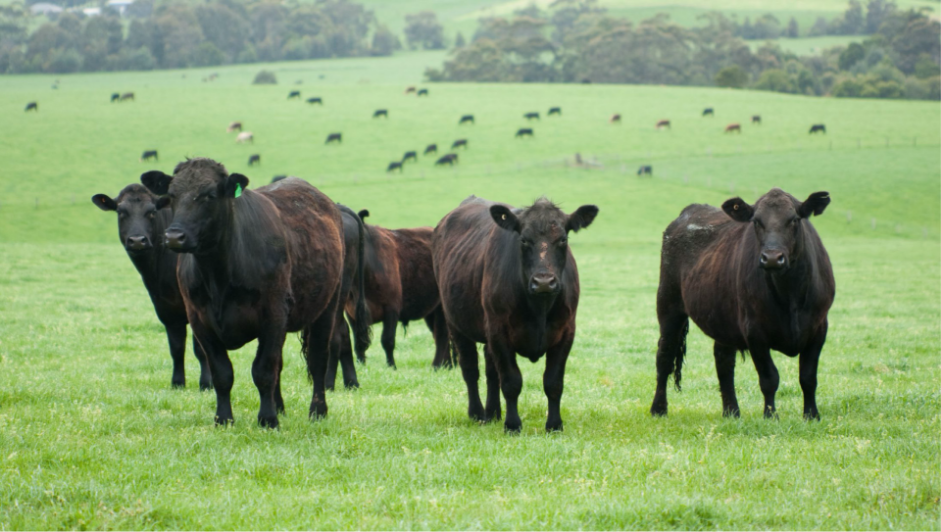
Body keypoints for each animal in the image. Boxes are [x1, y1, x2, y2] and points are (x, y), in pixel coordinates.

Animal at [91, 180, 211, 390]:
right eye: (121, 212)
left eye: (152, 212)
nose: (137, 241)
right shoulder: (165, 307)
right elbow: (176, 347)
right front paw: (177, 382)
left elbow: (200, 348)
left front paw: (206, 384)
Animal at [152, 158, 363, 427]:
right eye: (172, 195)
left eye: (210, 195)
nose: (174, 236)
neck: (218, 275)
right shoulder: (200, 320)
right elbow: (222, 373)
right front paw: (224, 419)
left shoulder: (272, 315)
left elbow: (263, 370)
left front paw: (268, 419)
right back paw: (281, 406)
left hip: (328, 307)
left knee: (318, 359)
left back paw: (317, 411)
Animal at [326, 210, 451, 385]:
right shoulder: (351, 313)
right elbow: (358, 343)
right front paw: (361, 365)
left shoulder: (392, 308)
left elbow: (387, 340)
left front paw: (392, 366)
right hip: (431, 311)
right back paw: (448, 365)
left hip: (442, 308)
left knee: (441, 336)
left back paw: (438, 366)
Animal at [433, 196, 599, 432]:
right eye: (523, 240)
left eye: (563, 240)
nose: (544, 282)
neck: (539, 308)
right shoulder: (499, 332)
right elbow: (511, 381)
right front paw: (512, 425)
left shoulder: (566, 331)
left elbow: (553, 382)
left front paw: (554, 425)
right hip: (456, 324)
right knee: (470, 369)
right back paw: (477, 413)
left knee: (491, 372)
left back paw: (493, 412)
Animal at [650, 188, 834, 420]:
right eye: (756, 221)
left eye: (794, 220)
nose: (772, 258)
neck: (789, 295)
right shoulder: (754, 331)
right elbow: (769, 378)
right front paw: (770, 416)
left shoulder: (819, 328)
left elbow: (808, 377)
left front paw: (811, 415)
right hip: (668, 304)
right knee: (664, 355)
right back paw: (658, 408)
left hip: (722, 317)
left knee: (723, 361)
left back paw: (731, 411)